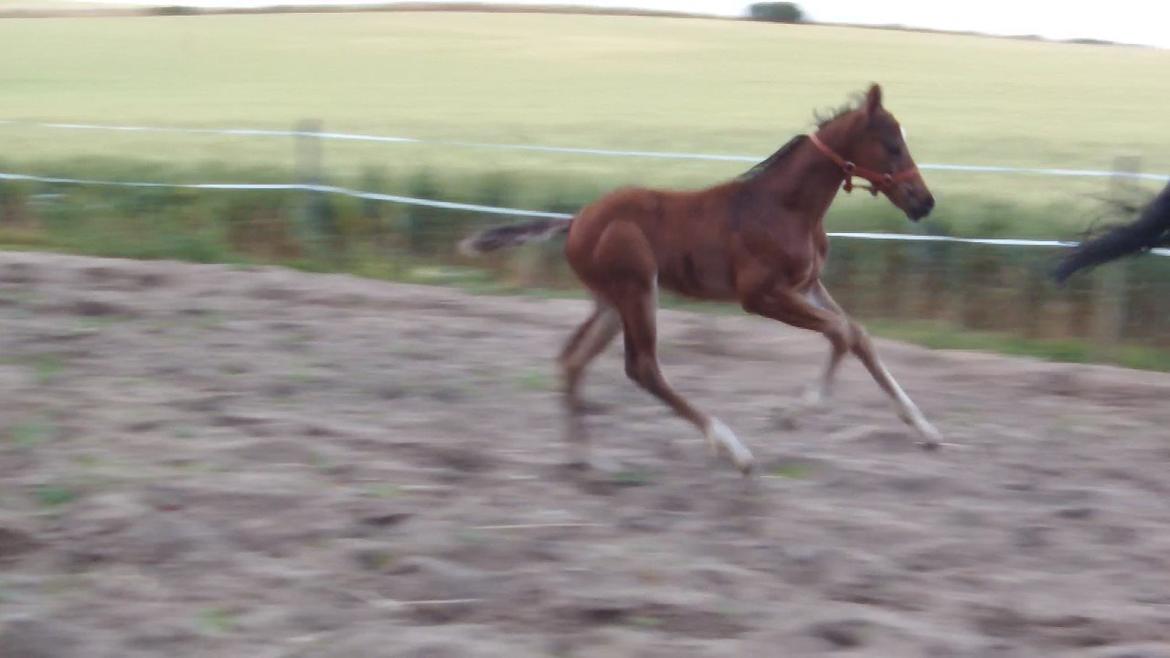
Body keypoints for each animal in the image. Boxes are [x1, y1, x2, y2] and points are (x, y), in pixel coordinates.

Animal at [456, 84, 940, 473]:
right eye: (892, 145)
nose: (924, 202)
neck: (786, 208)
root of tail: (576, 221)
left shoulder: (808, 285)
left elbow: (858, 334)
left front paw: (926, 429)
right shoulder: (761, 296)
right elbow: (841, 332)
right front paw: (796, 412)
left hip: (611, 301)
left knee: (573, 359)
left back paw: (584, 458)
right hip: (637, 290)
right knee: (642, 367)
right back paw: (733, 450)